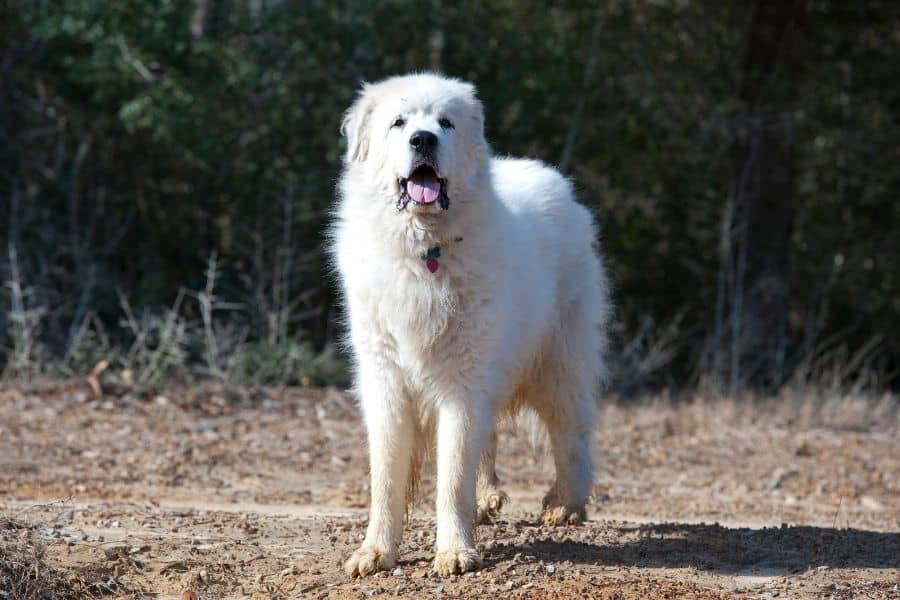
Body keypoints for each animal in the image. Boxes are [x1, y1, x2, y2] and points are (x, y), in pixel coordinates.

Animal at [330, 72, 612, 580]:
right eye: (399, 123)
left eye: (446, 123)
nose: (423, 139)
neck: (425, 251)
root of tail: (556, 181)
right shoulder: (386, 379)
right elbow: (386, 475)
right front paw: (376, 551)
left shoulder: (462, 381)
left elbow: (452, 473)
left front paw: (454, 551)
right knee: (492, 434)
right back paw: (487, 499)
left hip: (558, 364)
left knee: (571, 435)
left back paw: (566, 504)